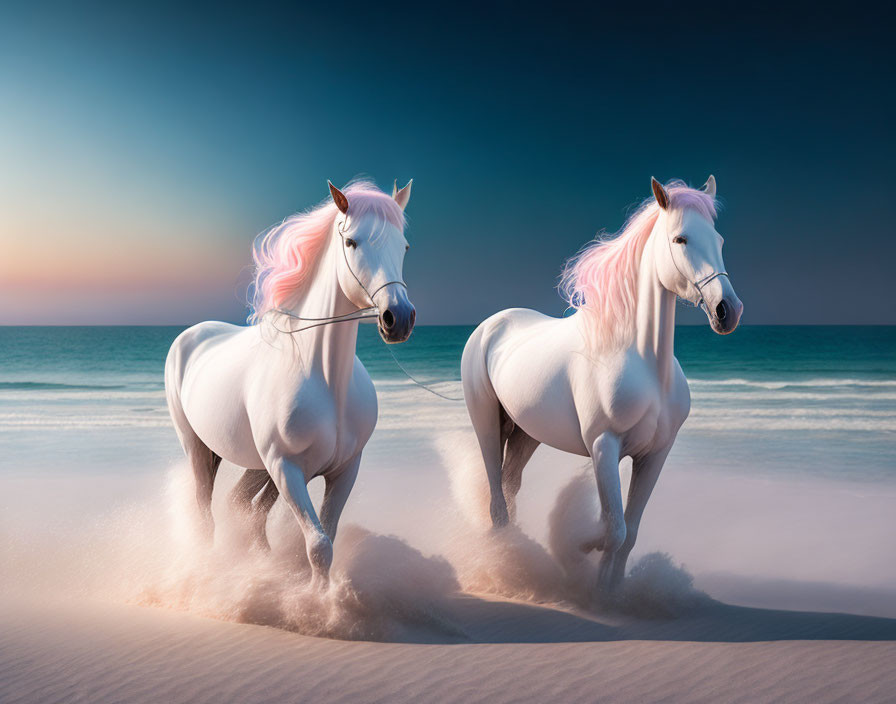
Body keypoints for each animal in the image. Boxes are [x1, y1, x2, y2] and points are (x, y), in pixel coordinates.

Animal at [166, 179, 414, 584]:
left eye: (403, 246)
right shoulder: (287, 470)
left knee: (242, 508)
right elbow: (318, 546)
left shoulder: (344, 470)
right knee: (207, 515)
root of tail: (192, 334)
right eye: (351, 242)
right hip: (199, 450)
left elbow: (323, 537)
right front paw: (318, 601)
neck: (326, 381)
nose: (399, 318)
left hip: (258, 465)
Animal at [462, 176, 744, 588]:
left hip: (528, 433)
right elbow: (613, 530)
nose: (728, 311)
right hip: (486, 423)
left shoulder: (655, 455)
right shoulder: (603, 447)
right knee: (497, 500)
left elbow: (629, 534)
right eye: (680, 239)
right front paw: (574, 549)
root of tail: (492, 323)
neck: (646, 365)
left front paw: (609, 591)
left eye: (720, 240)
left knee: (510, 486)